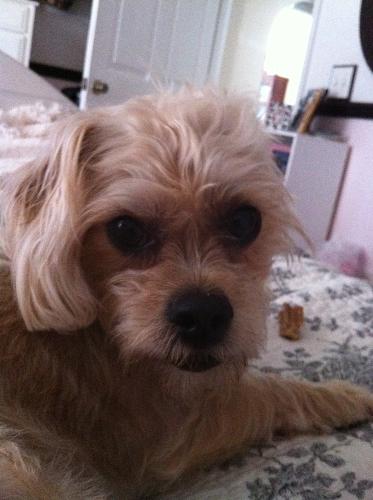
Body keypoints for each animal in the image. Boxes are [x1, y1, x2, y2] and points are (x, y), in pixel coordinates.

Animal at [0, 88, 370, 498]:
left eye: (245, 220)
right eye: (125, 229)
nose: (203, 315)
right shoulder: (174, 439)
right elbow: (270, 391)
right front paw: (344, 396)